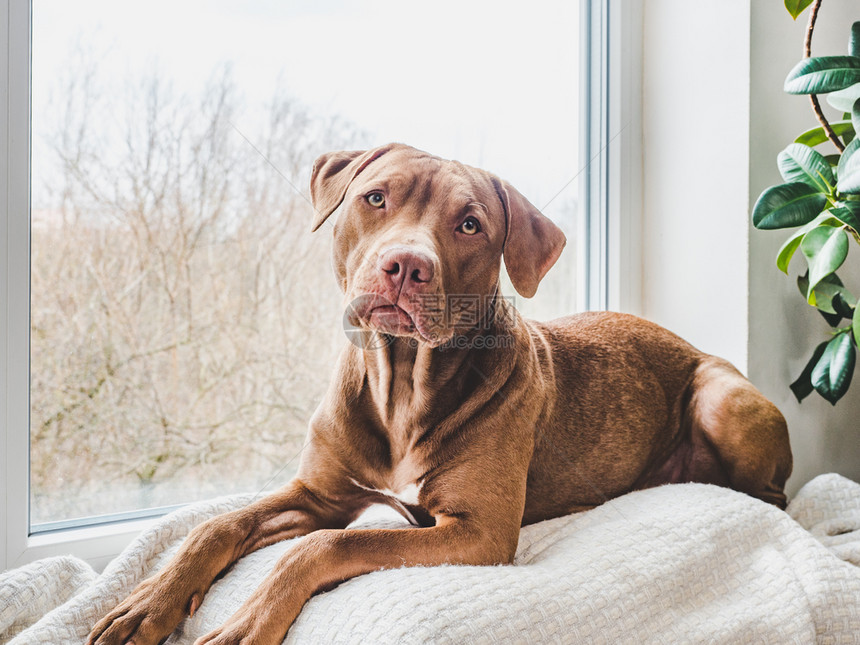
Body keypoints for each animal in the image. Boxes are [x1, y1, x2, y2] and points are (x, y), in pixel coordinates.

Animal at [89, 143, 792, 644]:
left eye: (470, 224)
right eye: (374, 197)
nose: (406, 264)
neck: (402, 383)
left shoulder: (476, 532)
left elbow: (333, 543)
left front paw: (249, 620)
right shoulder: (319, 495)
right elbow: (217, 525)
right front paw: (148, 603)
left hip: (721, 399)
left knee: (774, 494)